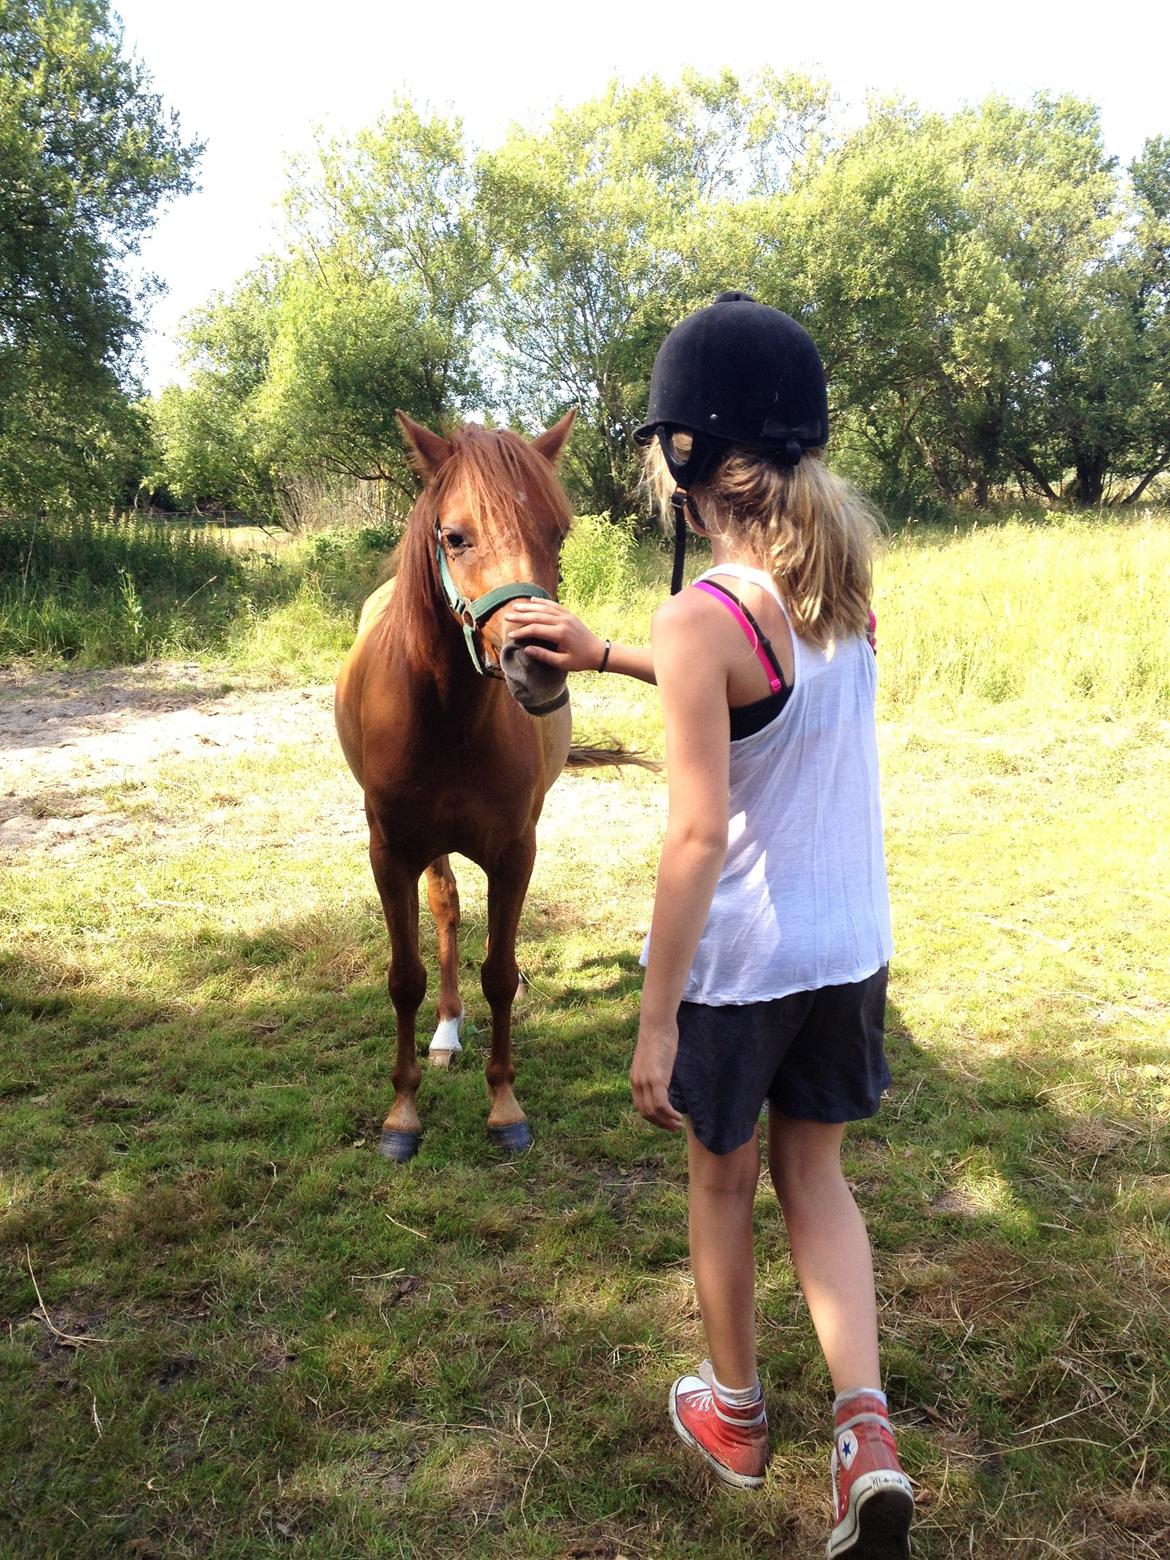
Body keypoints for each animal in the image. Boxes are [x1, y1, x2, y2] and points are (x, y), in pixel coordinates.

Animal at [333, 408, 583, 1166]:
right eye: (454, 536)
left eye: (558, 532)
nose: (540, 665)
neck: (445, 716)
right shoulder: (390, 854)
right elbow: (403, 978)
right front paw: (402, 1114)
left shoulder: (515, 853)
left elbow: (500, 973)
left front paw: (504, 1108)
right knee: (443, 908)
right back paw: (444, 1033)